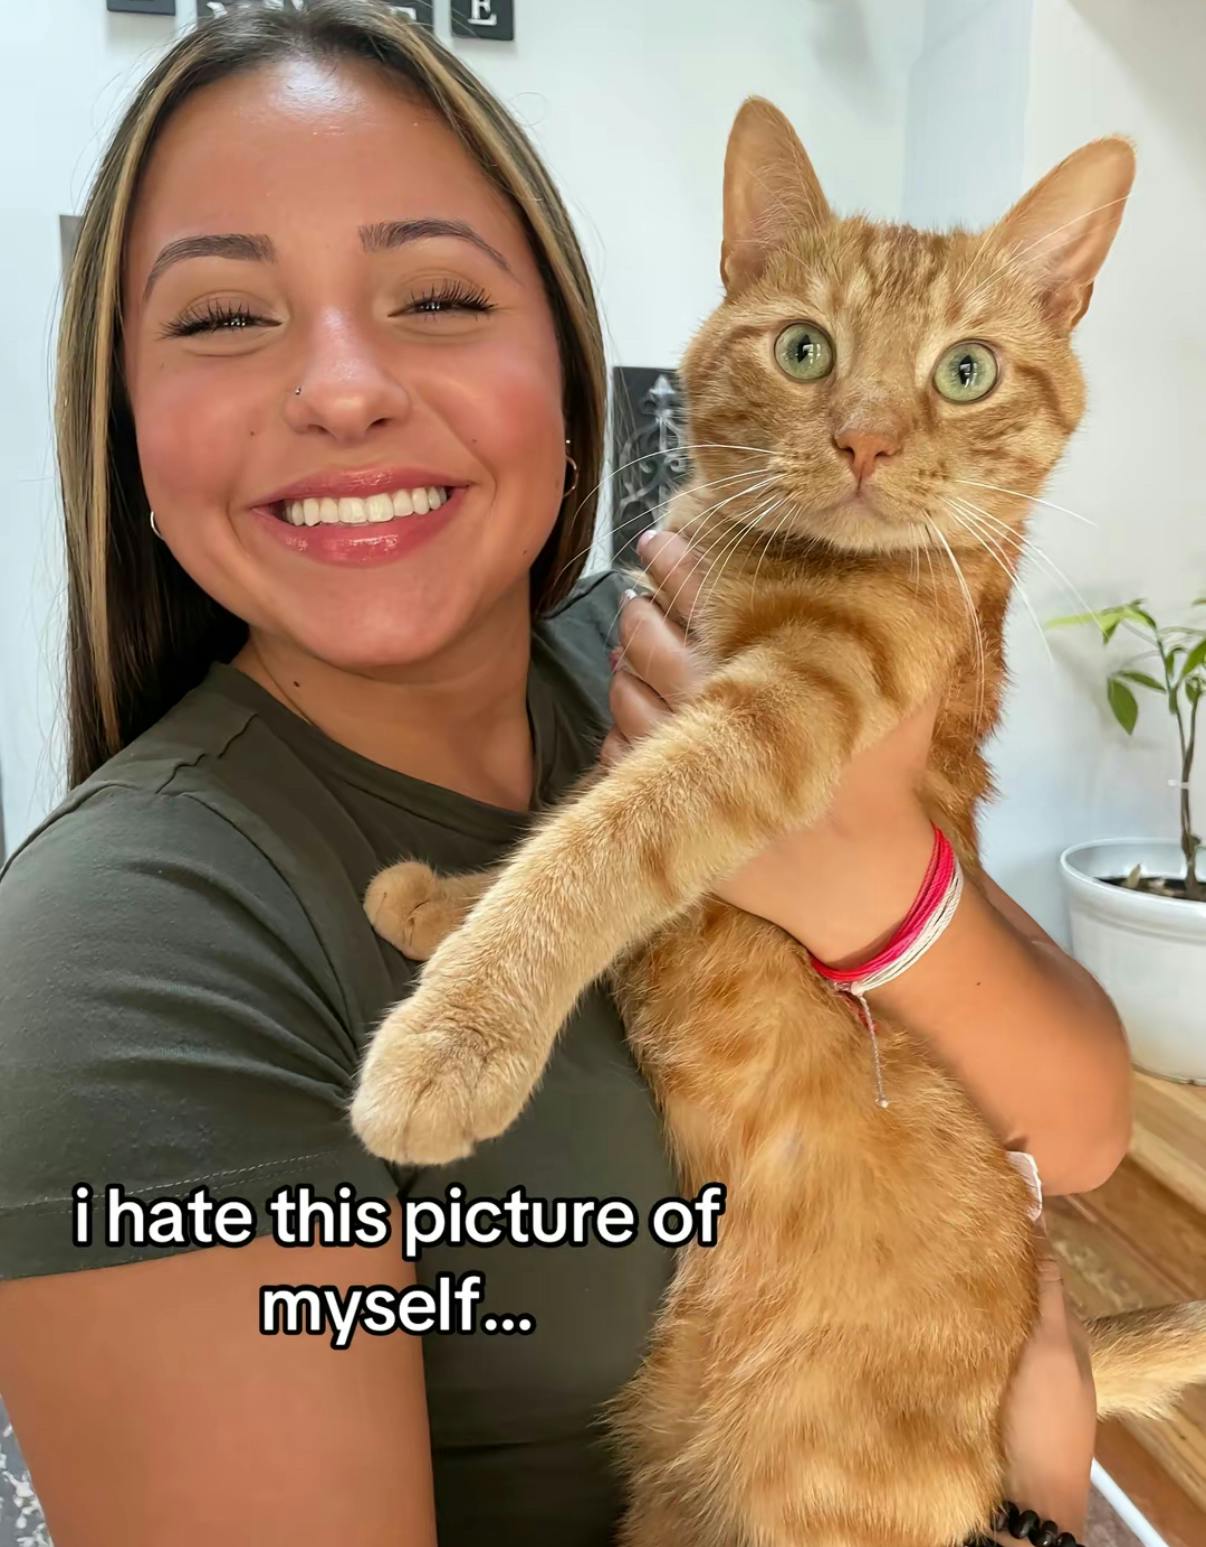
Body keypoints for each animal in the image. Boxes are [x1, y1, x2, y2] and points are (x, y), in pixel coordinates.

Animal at [346, 102, 1206, 1540]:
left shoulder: (779, 712)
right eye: (805, 349)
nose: (863, 439)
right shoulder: (657, 695)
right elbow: (569, 804)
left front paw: (452, 1036)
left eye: (965, 371)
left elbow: (599, 838)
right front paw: (437, 904)